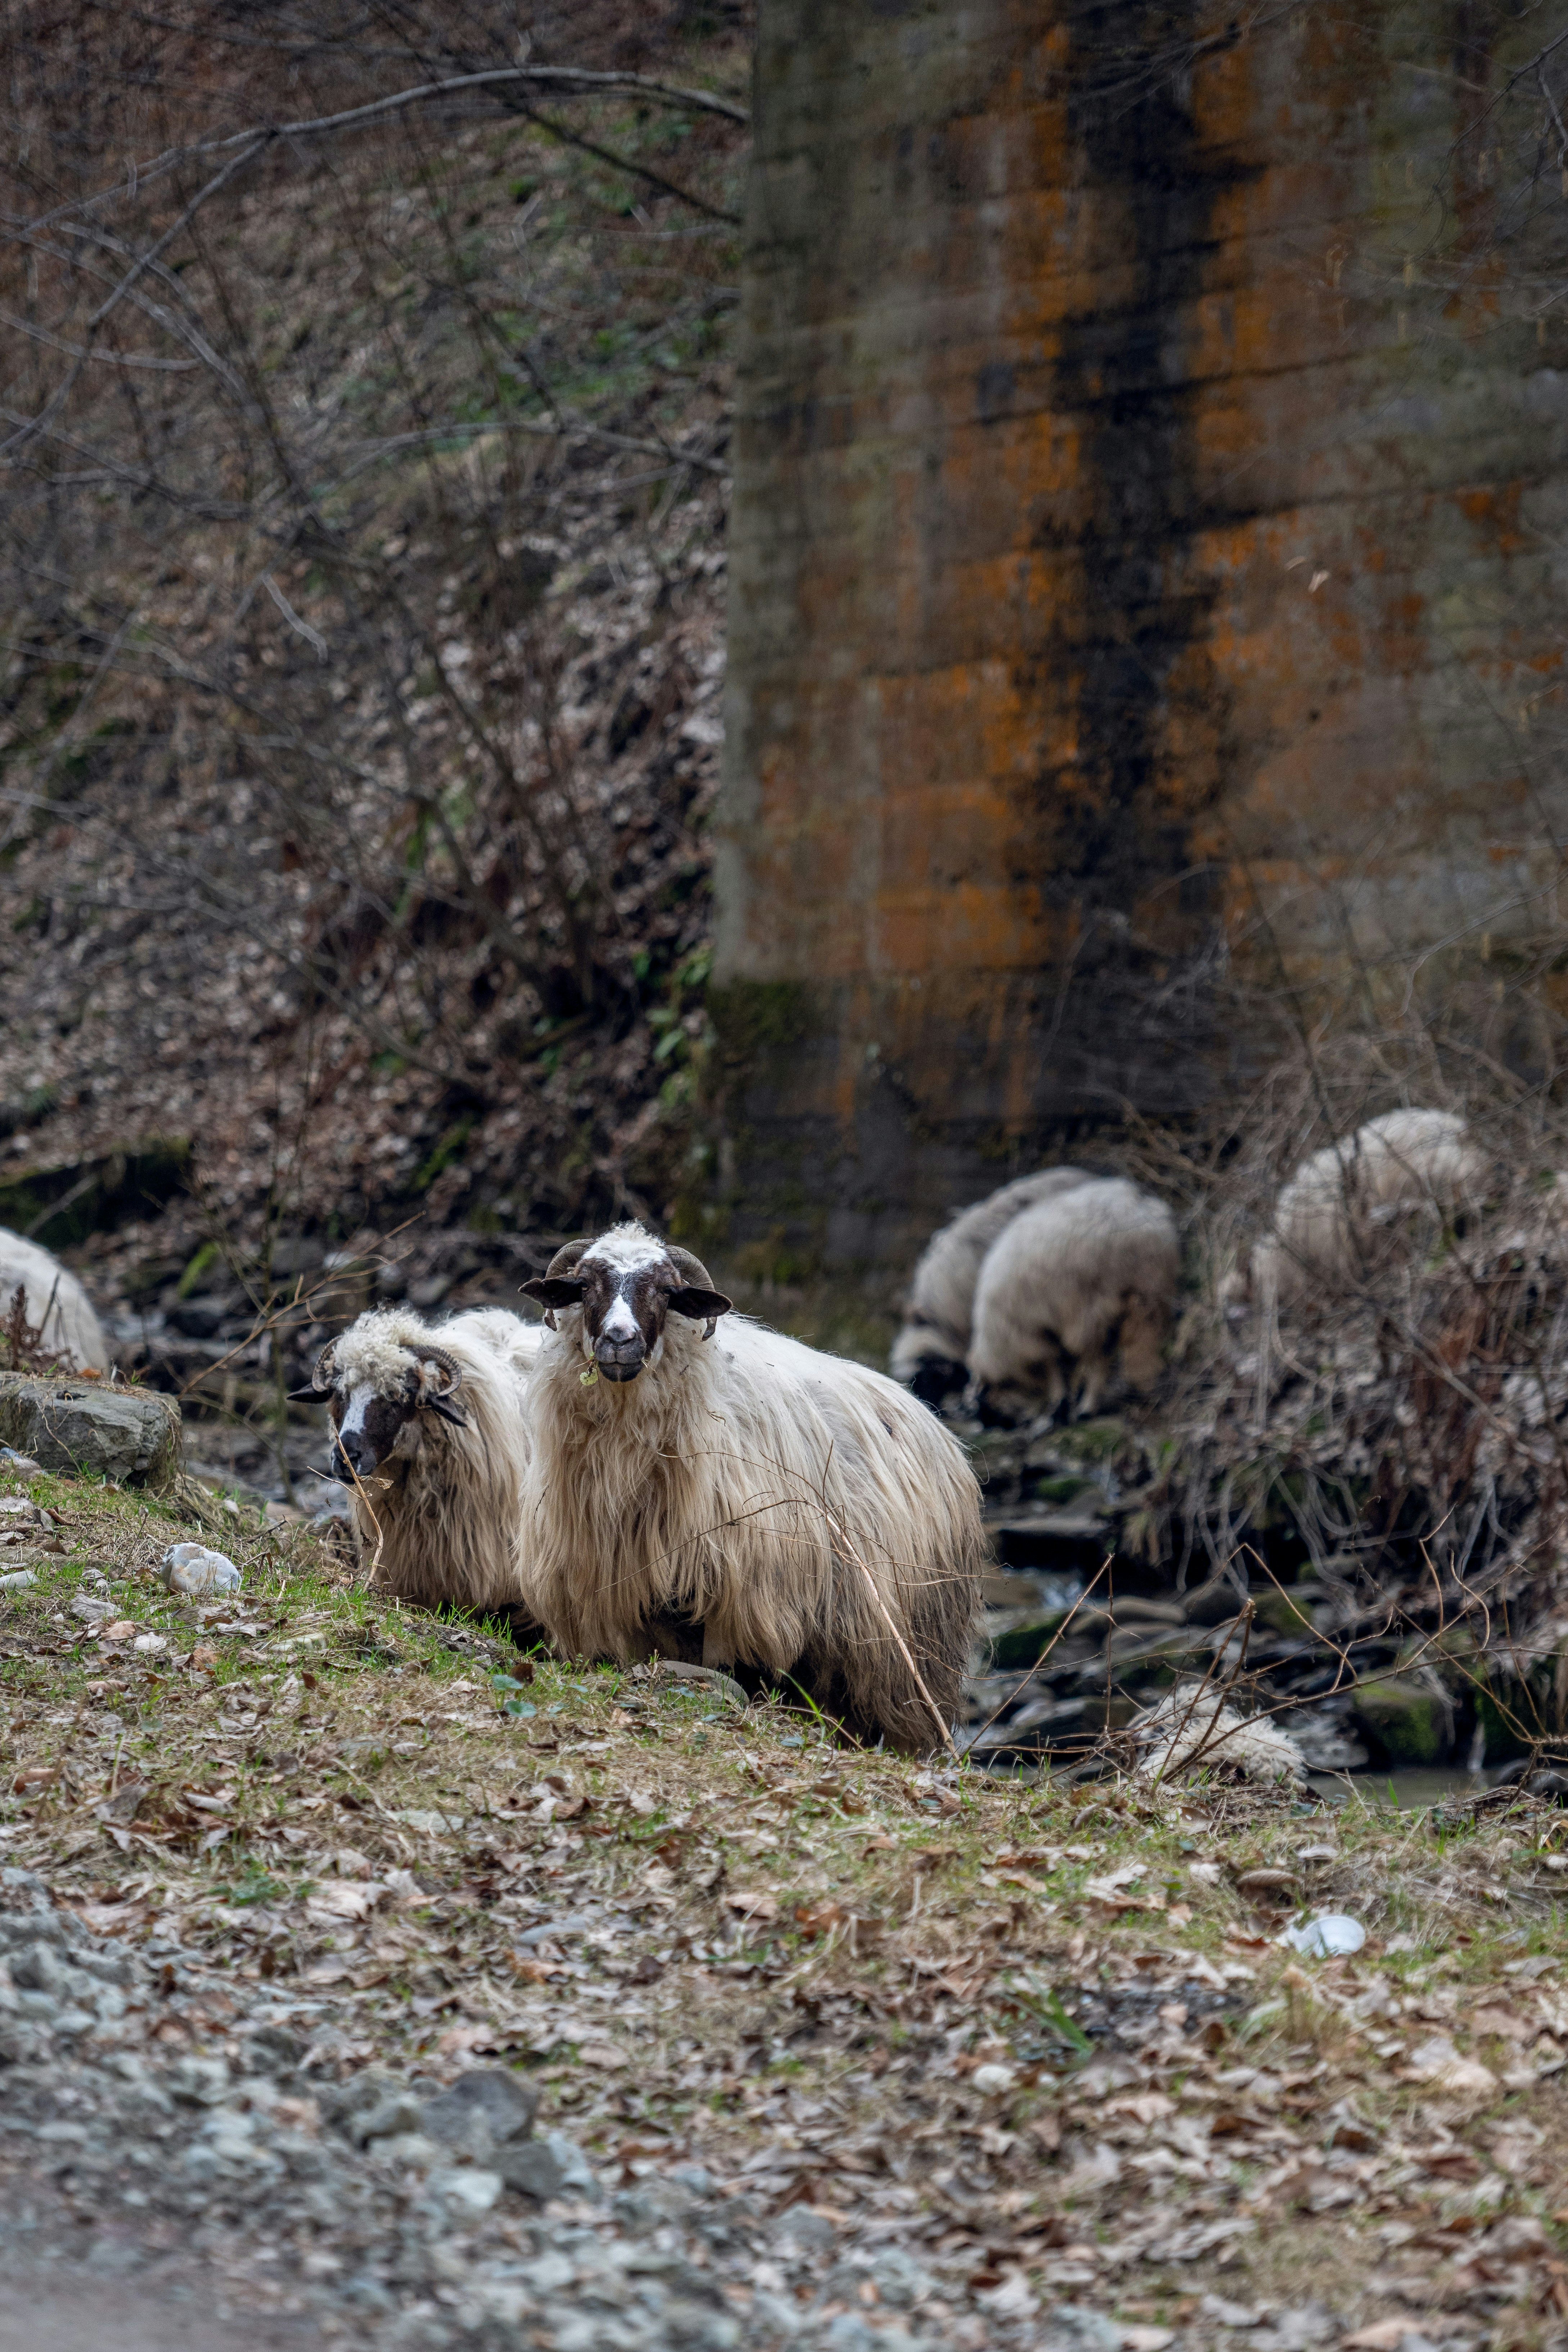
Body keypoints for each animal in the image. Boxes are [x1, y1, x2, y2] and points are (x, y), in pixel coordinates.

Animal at [518, 1223, 983, 1754]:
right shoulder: (629, 1601)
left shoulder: (740, 1598)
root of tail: (939, 1426)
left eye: (666, 1291)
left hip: (908, 1649)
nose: (620, 1340)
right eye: (585, 1284)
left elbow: (724, 1670)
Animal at [966, 1176, 1179, 1420]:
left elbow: (1053, 1365)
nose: (979, 1418)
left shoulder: (1031, 1332)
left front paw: (1058, 1402)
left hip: (1092, 1303)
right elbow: (1059, 1364)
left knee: (1099, 1359)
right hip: (1150, 1290)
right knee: (1144, 1337)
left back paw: (1089, 1407)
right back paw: (1148, 1386)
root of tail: (1134, 1207)